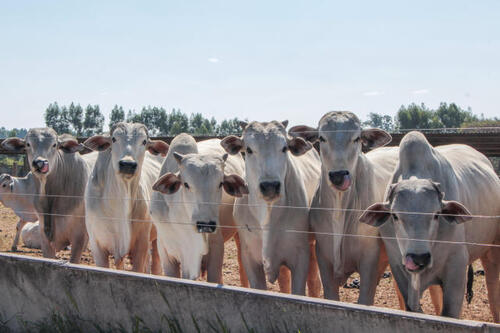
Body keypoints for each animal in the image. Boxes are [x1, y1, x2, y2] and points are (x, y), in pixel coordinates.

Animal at [221, 120, 322, 296]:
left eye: (284, 148)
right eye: (249, 149)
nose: (270, 186)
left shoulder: (300, 257)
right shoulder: (250, 259)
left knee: (314, 281)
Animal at [362, 130, 498, 320]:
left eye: (436, 214)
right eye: (395, 215)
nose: (419, 258)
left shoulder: (456, 269)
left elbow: (449, 314)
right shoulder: (398, 268)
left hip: (491, 251)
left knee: (493, 291)